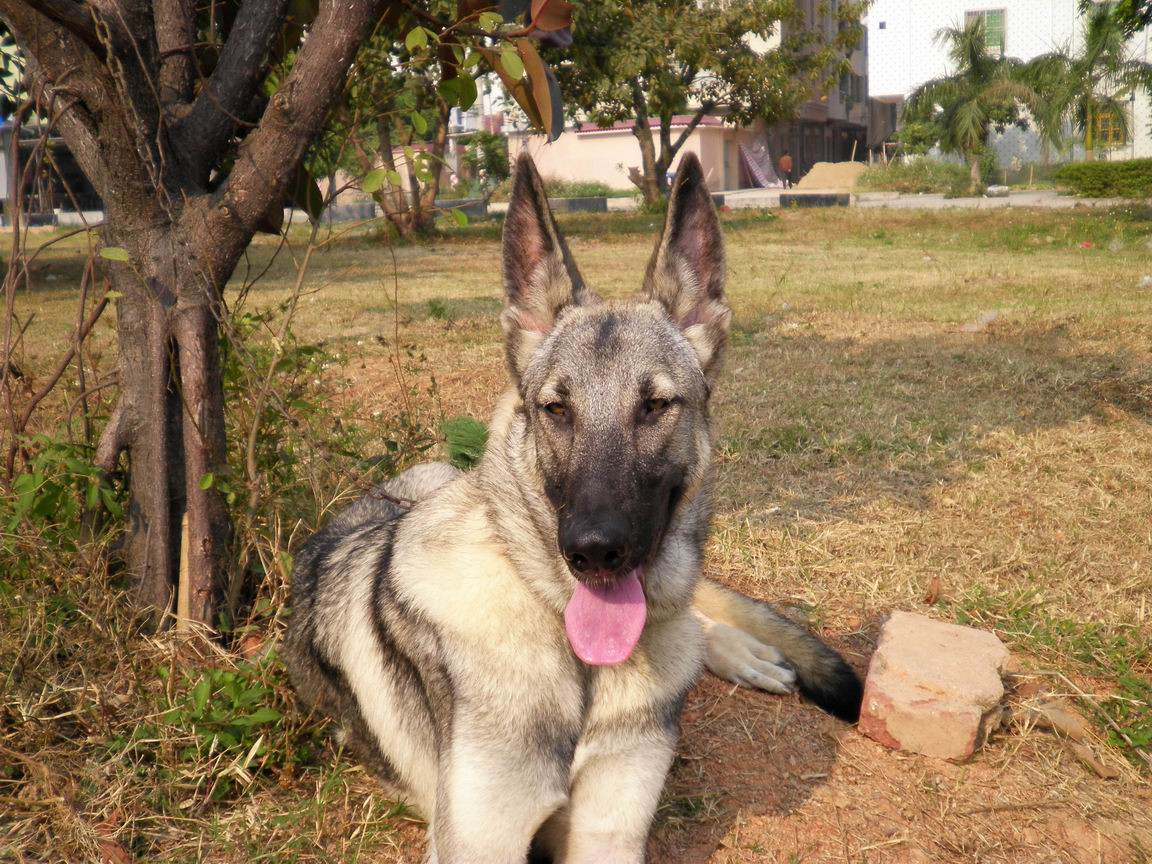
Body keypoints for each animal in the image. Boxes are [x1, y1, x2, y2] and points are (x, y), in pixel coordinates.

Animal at [283, 152, 861, 861]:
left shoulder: (609, 834)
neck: (580, 665)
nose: (594, 551)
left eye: (655, 406)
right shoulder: (479, 844)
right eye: (556, 410)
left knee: (698, 622)